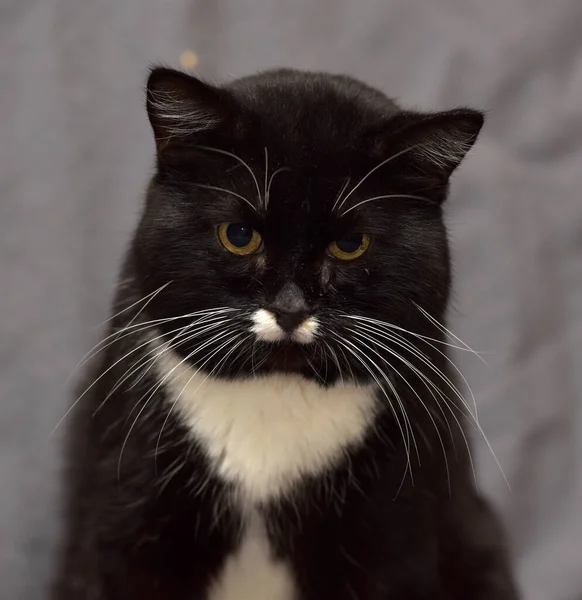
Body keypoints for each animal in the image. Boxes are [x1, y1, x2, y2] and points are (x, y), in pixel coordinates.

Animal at [52, 68, 524, 596]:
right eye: (239, 236)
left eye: (350, 244)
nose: (291, 308)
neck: (275, 393)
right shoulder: (121, 510)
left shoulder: (397, 525)